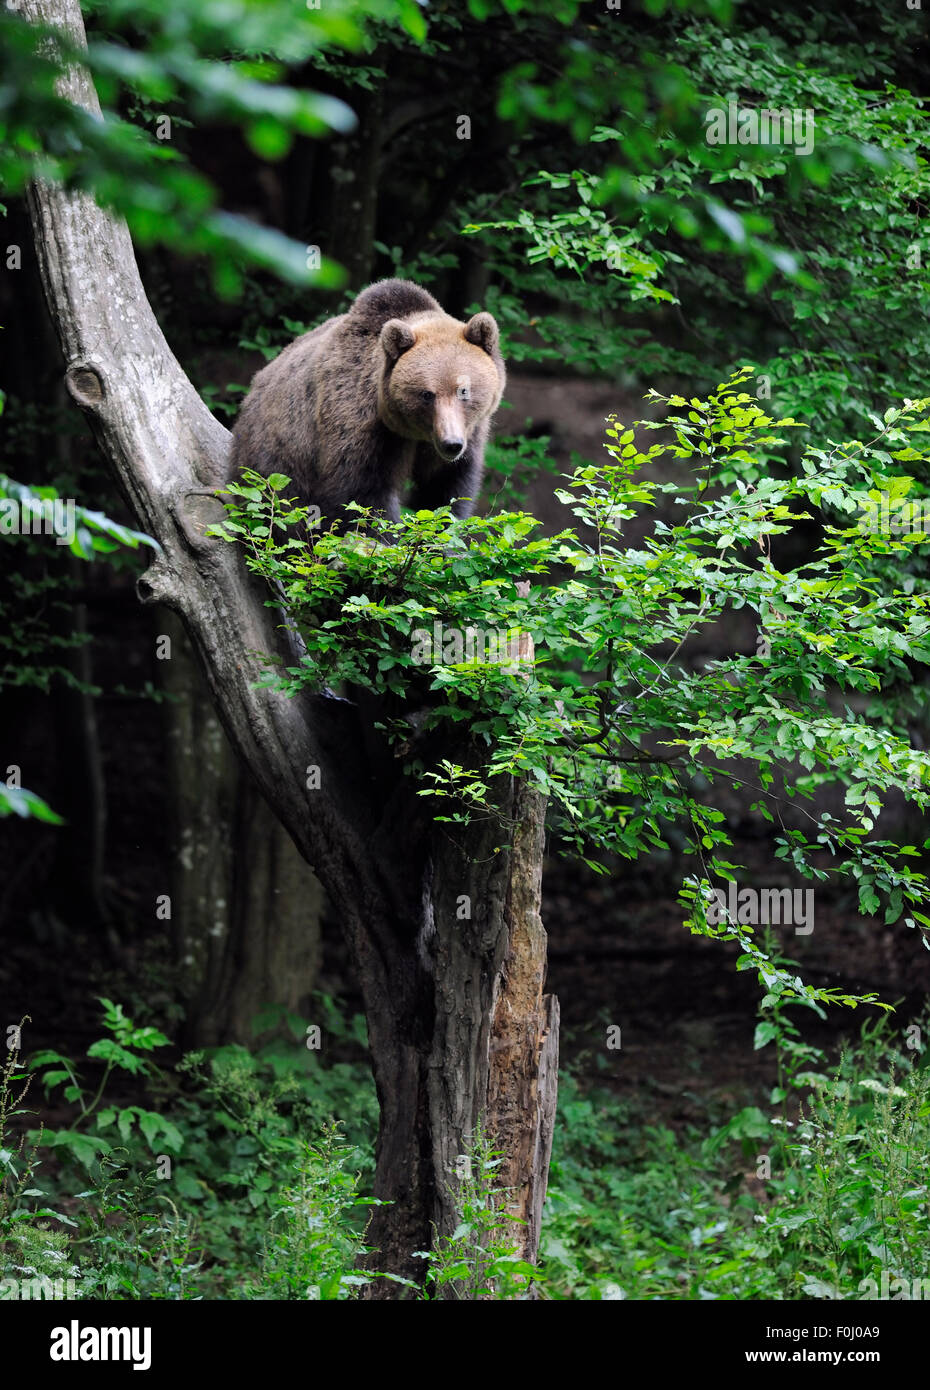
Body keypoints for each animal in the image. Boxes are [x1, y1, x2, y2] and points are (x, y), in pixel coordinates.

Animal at [229, 278, 506, 529]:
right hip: (276, 461)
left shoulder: (467, 435)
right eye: (427, 394)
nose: (451, 444)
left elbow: (445, 492)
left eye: (463, 390)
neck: (413, 432)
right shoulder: (360, 424)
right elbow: (361, 497)